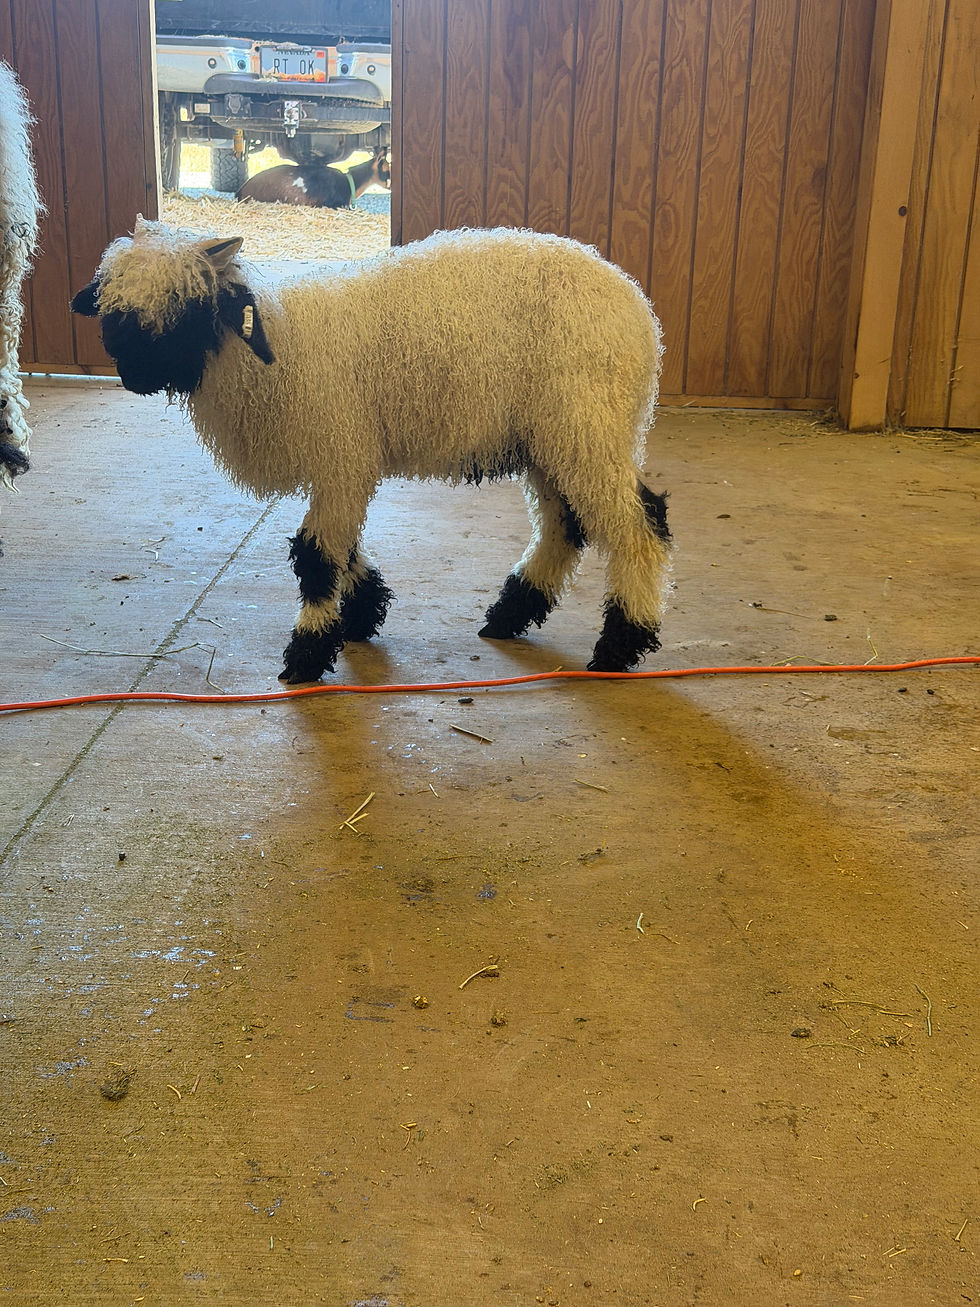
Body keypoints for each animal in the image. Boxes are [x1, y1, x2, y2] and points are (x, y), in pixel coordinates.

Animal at [71, 219, 672, 681]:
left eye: (189, 308)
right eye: (113, 310)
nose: (134, 378)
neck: (270, 357)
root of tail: (636, 303)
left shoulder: (342, 453)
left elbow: (316, 554)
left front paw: (307, 654)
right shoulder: (344, 460)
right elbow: (340, 546)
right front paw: (361, 613)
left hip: (587, 425)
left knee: (637, 526)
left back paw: (619, 645)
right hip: (552, 437)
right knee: (564, 526)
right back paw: (509, 615)